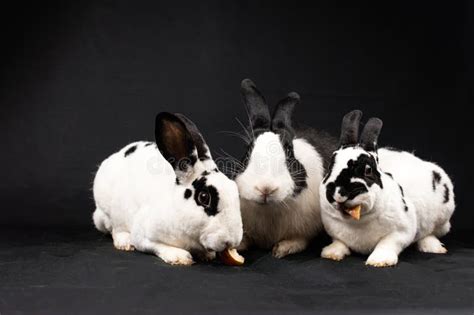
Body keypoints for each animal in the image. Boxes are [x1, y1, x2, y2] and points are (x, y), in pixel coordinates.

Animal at [93, 112, 243, 266]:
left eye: (234, 189)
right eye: (204, 197)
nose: (232, 241)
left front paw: (207, 255)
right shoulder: (143, 236)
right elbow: (157, 245)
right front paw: (180, 257)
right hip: (110, 213)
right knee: (115, 229)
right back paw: (125, 243)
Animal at [232, 79, 336, 260]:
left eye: (289, 151)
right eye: (247, 150)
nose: (266, 188)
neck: (269, 210)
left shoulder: (304, 229)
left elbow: (299, 240)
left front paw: (283, 249)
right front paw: (238, 246)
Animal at [320, 110, 454, 268]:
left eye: (368, 170)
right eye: (330, 167)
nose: (339, 193)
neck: (357, 221)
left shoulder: (402, 231)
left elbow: (388, 243)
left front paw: (379, 261)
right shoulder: (335, 232)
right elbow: (339, 242)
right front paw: (331, 253)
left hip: (442, 217)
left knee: (429, 233)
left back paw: (434, 247)